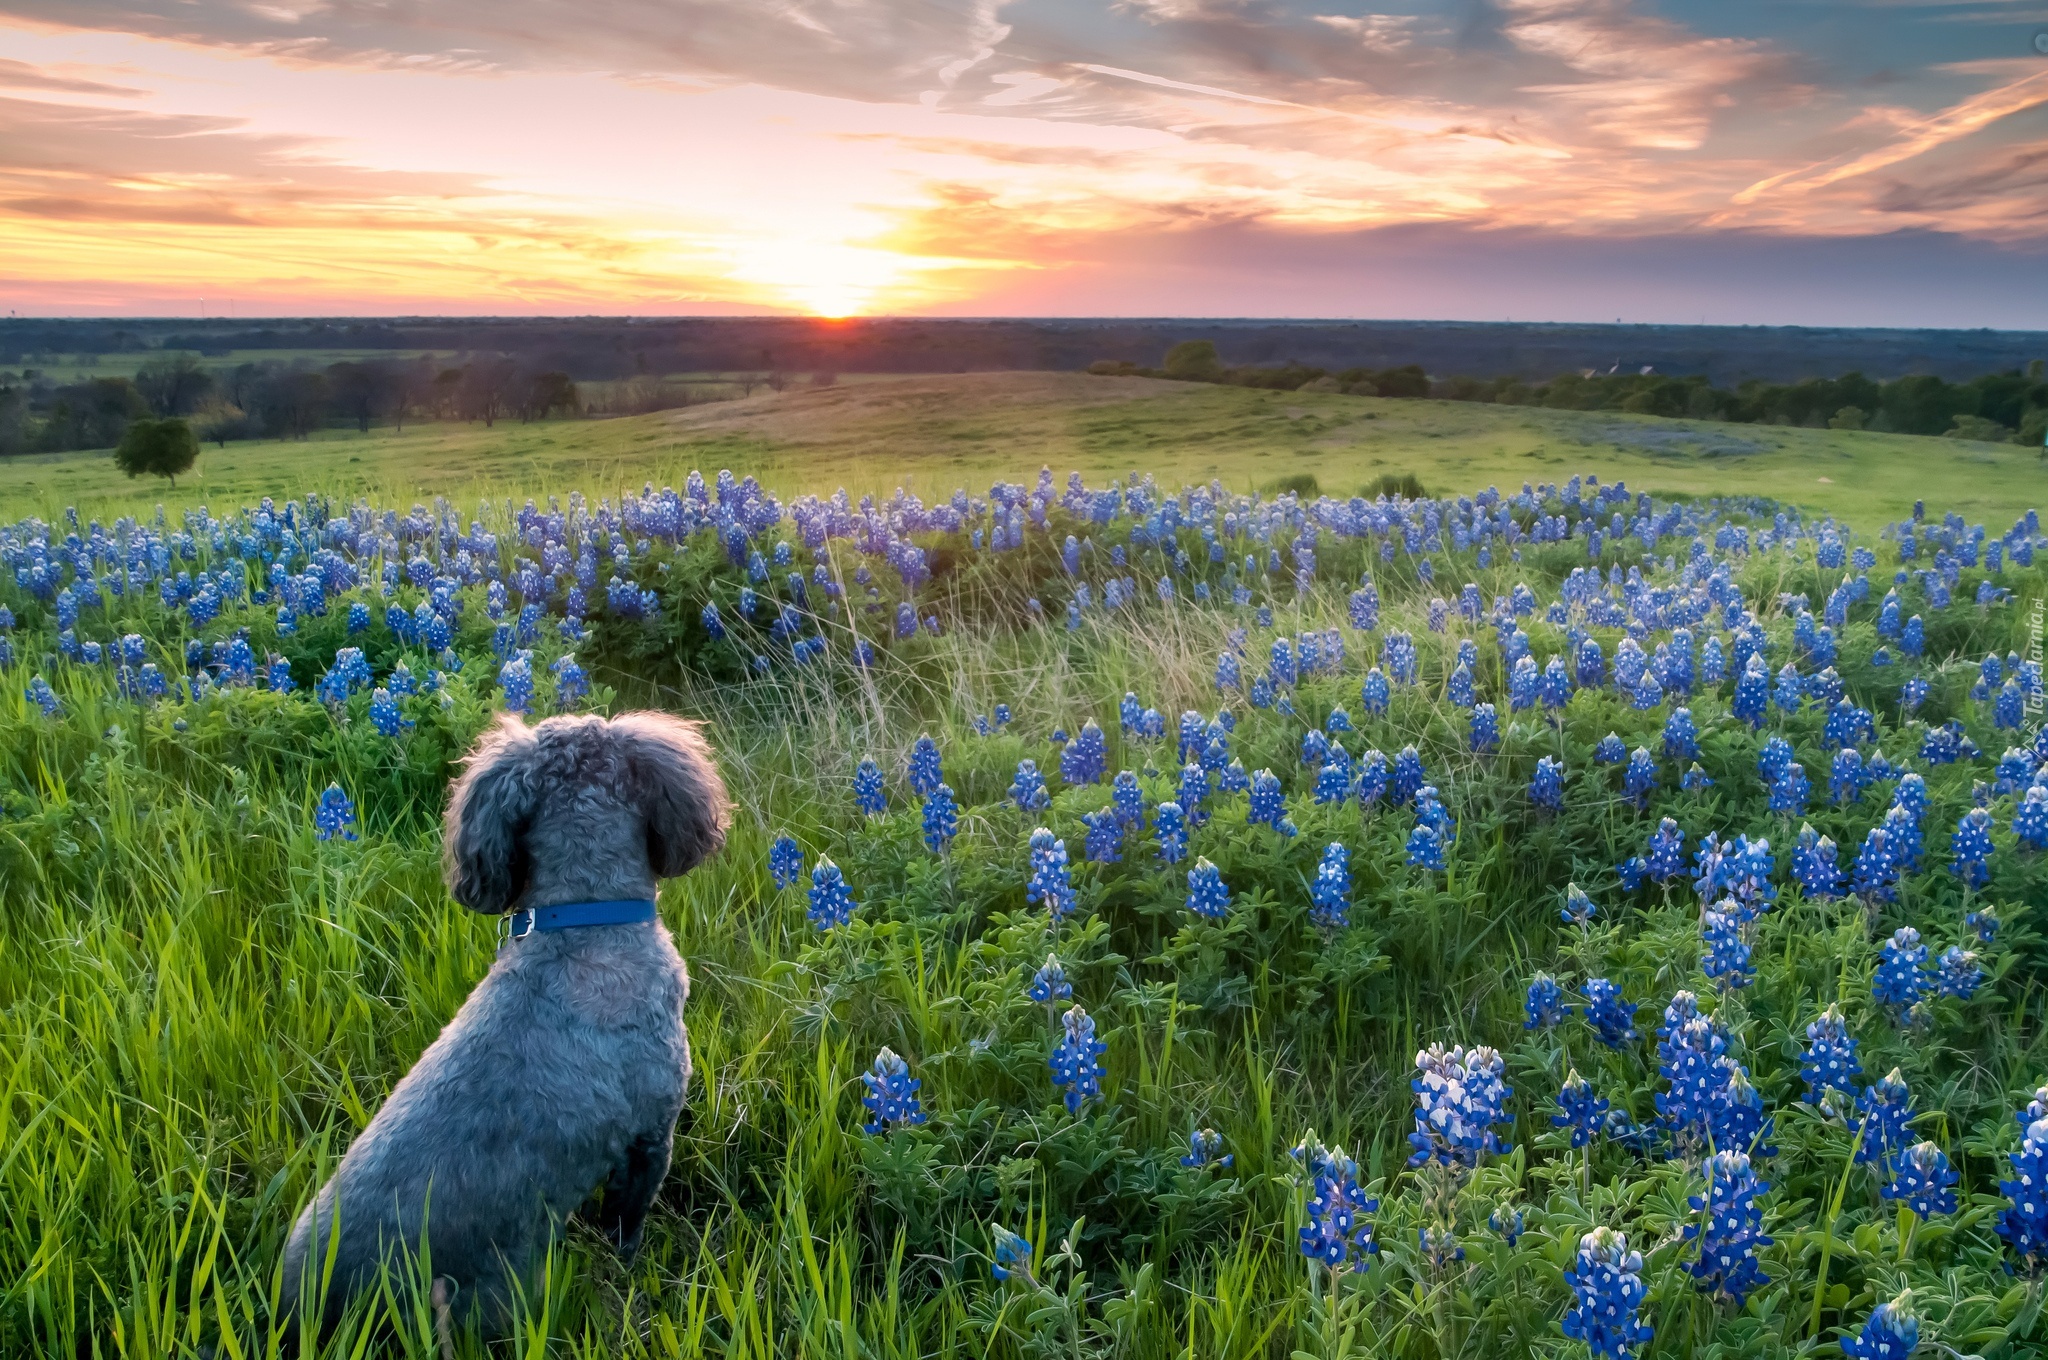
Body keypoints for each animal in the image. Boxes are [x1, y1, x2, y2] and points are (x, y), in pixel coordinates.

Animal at [280, 712, 729, 1335]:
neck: (583, 923)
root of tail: (318, 1307)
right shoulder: (650, 1137)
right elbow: (626, 1223)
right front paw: (629, 1264)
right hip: (501, 1291)